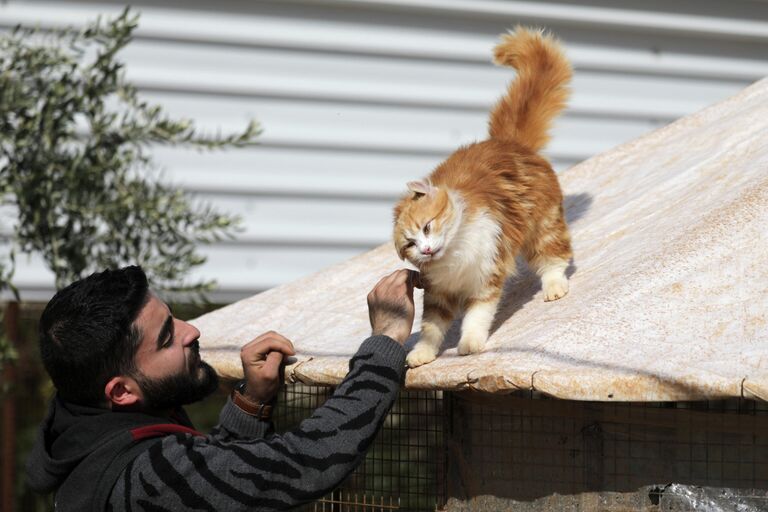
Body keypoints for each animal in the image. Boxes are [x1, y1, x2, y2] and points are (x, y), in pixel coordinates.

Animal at [392, 27, 572, 368]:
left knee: (554, 258)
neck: (454, 257)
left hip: (543, 225)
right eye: (409, 244)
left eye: (426, 227)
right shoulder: (438, 294)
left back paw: (554, 287)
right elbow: (431, 328)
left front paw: (469, 344)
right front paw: (422, 354)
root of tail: (506, 142)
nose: (425, 249)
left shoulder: (487, 274)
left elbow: (477, 316)